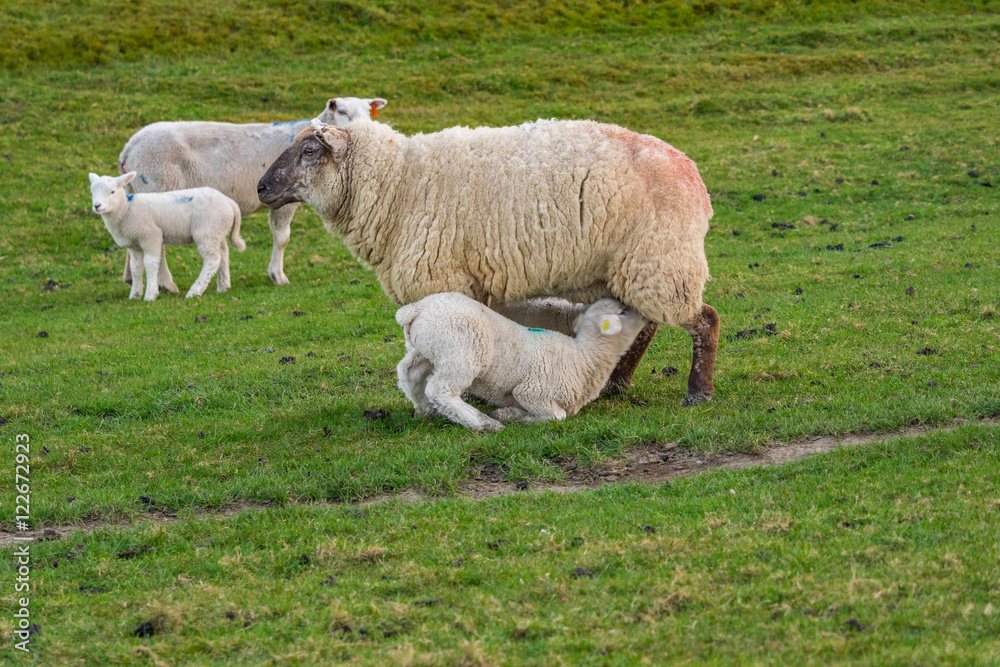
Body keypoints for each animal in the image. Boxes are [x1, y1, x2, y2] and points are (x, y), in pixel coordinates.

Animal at [89, 172, 245, 301]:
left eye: (112, 191)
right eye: (92, 192)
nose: (97, 206)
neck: (126, 209)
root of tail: (229, 202)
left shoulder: (151, 236)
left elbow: (150, 263)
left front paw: (150, 295)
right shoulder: (134, 245)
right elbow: (135, 267)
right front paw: (135, 295)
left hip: (207, 231)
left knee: (212, 260)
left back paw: (195, 291)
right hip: (217, 231)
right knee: (223, 254)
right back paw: (223, 286)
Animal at [118, 96, 388, 289]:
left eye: (369, 111)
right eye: (342, 111)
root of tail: (129, 147)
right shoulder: (284, 198)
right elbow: (282, 238)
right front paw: (278, 276)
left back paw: (132, 278)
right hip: (157, 189)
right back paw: (166, 283)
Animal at [257, 118, 720, 406]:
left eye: (310, 150)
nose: (261, 188)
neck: (398, 184)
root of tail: (693, 175)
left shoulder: (443, 279)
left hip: (659, 260)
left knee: (705, 320)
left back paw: (698, 393)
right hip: (629, 268)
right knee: (643, 324)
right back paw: (617, 383)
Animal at [396, 293, 648, 432]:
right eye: (622, 311)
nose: (642, 311)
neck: (584, 357)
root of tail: (417, 308)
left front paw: (510, 413)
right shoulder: (531, 391)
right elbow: (557, 416)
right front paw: (512, 416)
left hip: (425, 349)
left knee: (409, 373)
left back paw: (427, 411)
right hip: (459, 354)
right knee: (441, 391)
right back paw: (483, 424)